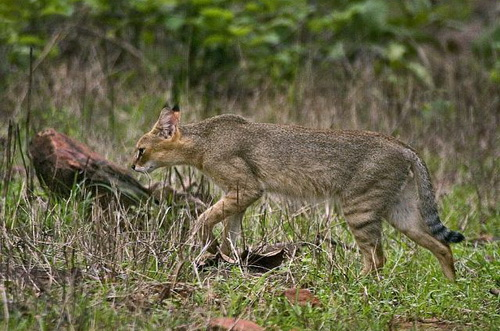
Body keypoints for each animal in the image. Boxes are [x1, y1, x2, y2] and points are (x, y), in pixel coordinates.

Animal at [131, 105, 462, 280]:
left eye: (140, 149)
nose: (132, 165)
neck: (204, 141)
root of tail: (403, 146)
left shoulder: (247, 189)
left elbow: (205, 218)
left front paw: (203, 244)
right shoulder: (239, 196)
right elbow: (230, 233)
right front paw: (228, 261)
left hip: (359, 209)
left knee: (377, 258)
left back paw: (353, 284)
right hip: (400, 212)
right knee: (442, 246)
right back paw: (452, 286)